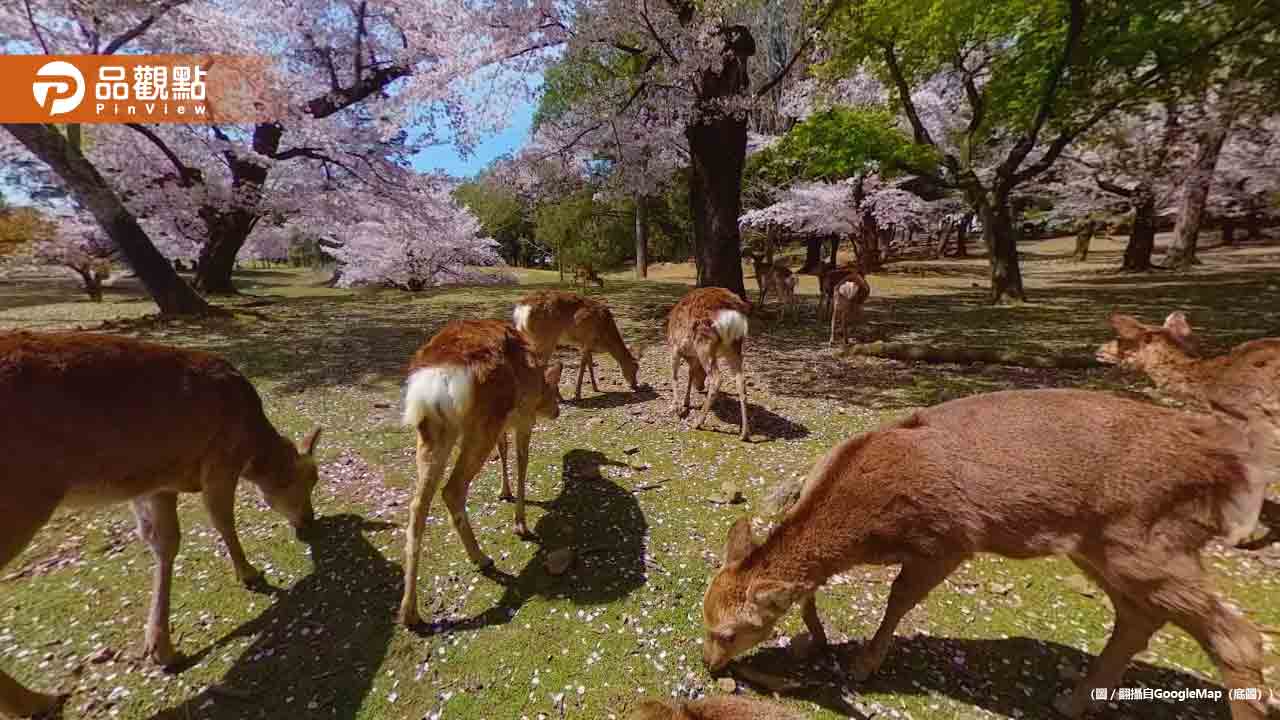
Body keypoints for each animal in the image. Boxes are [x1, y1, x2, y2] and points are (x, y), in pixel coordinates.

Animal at [0, 331, 323, 719]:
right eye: (310, 479)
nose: (310, 520)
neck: (251, 447)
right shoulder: (220, 459)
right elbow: (221, 519)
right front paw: (250, 573)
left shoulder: (157, 483)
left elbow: (163, 541)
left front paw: (161, 648)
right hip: (20, 498)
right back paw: (39, 700)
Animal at [398, 319, 563, 627]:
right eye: (554, 390)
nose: (557, 411)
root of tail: (437, 378)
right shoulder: (523, 418)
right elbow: (522, 462)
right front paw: (521, 524)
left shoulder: (505, 426)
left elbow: (504, 450)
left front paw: (504, 493)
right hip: (483, 422)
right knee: (452, 489)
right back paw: (481, 557)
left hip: (433, 431)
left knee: (417, 505)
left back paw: (410, 612)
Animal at [667, 287, 752, 441]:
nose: (700, 387)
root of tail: (732, 314)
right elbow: (690, 373)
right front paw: (686, 402)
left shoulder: (675, 347)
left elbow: (674, 376)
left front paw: (676, 408)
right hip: (734, 346)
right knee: (741, 381)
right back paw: (744, 434)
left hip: (704, 342)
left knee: (717, 378)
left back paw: (697, 422)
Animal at [701, 387, 1270, 720]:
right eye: (705, 614)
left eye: (730, 632)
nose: (709, 664)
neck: (867, 531)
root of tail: (1222, 465)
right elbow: (811, 593)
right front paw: (820, 640)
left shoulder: (951, 540)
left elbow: (898, 599)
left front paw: (864, 665)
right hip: (1105, 547)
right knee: (1138, 618)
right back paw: (1073, 699)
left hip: (1146, 540)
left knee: (1237, 637)